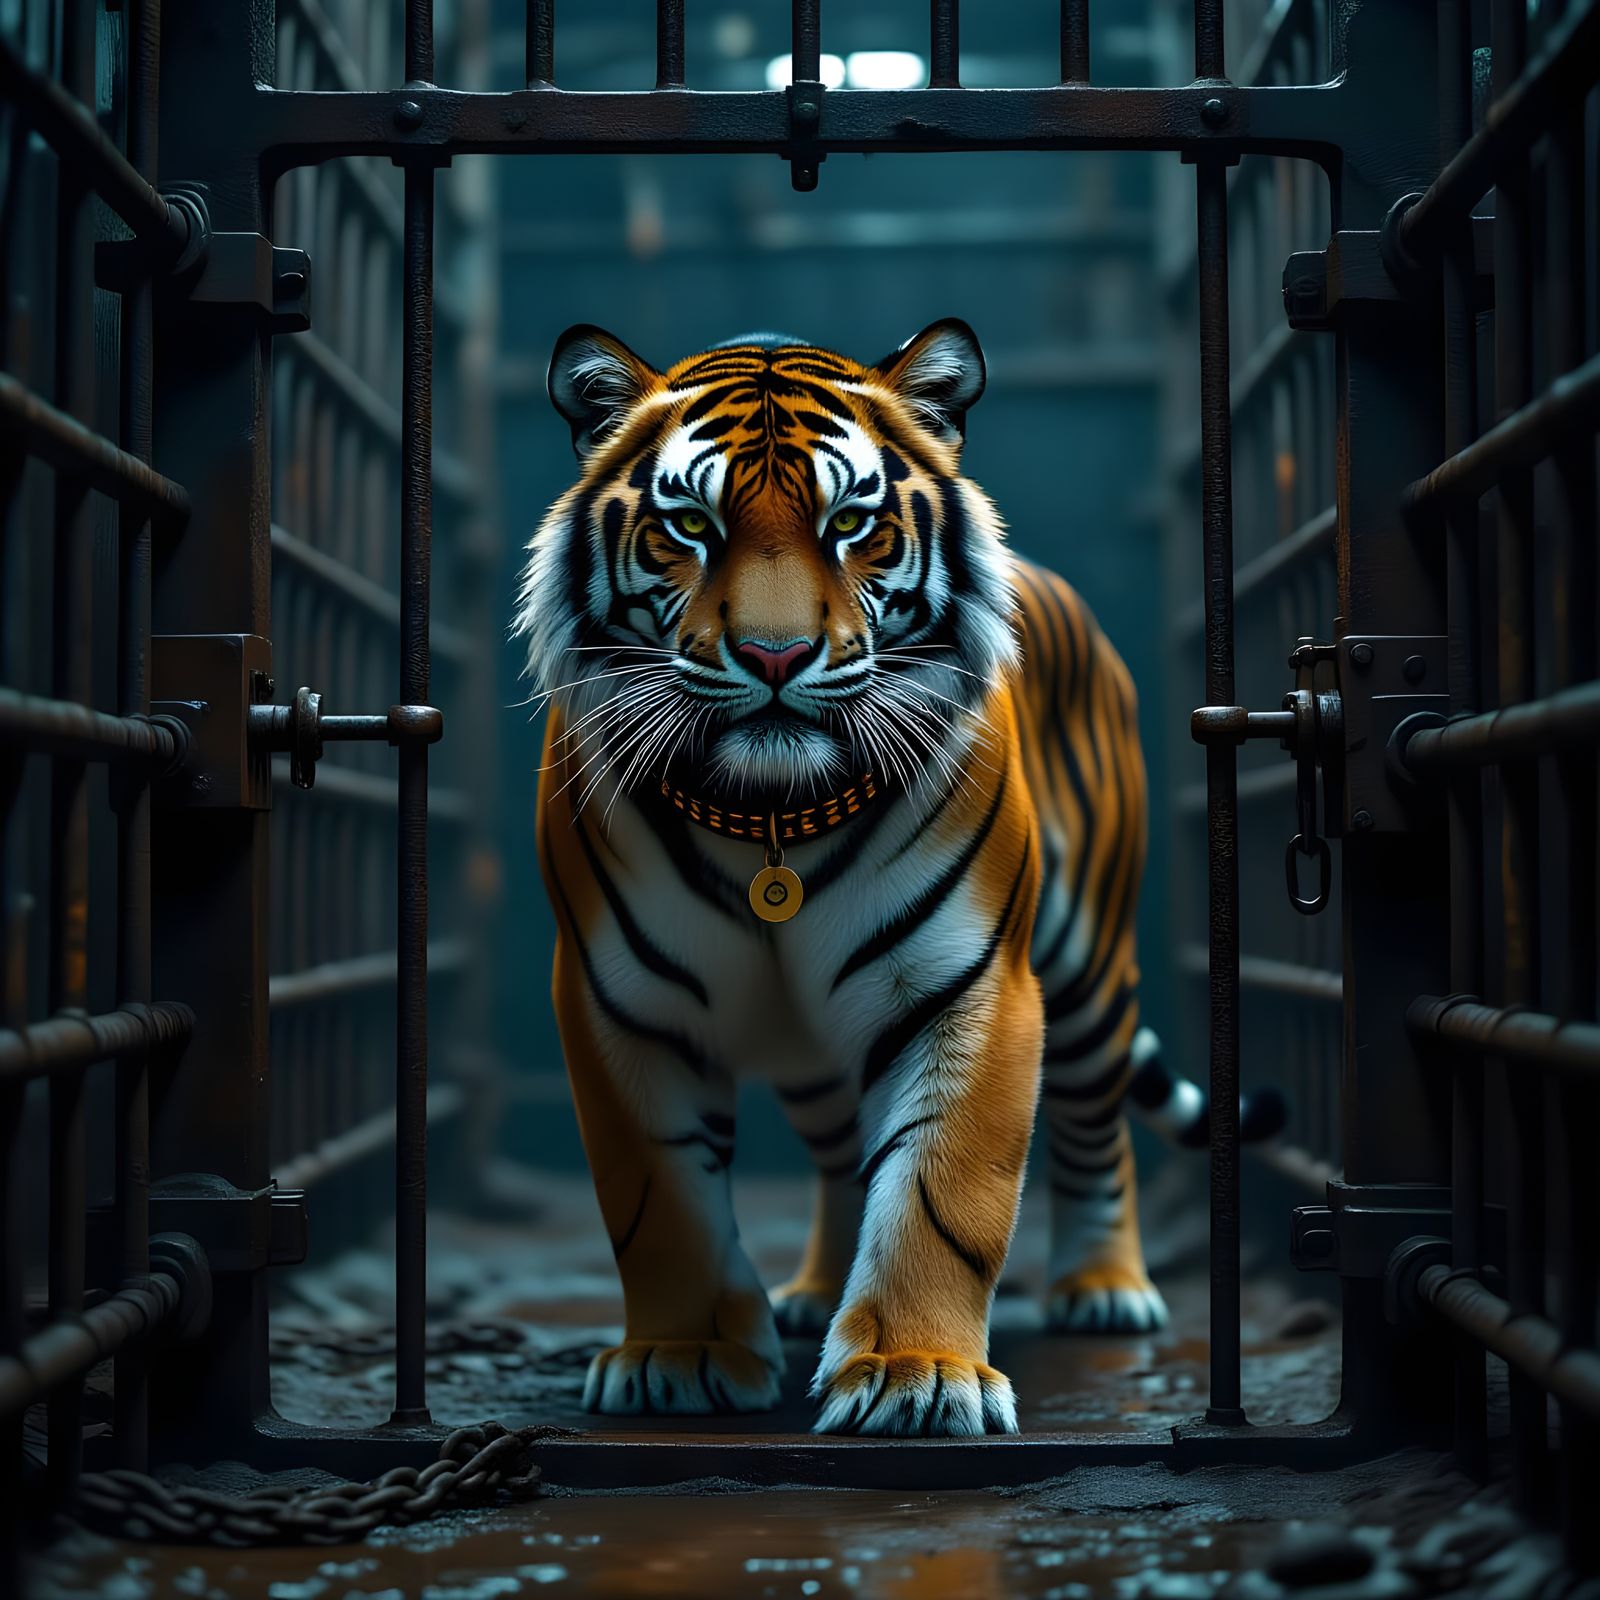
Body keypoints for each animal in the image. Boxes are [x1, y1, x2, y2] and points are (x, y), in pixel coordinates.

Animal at [513, 319, 1276, 1438]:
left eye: (852, 524)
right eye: (688, 524)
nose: (775, 655)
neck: (771, 822)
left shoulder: (970, 987)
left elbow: (938, 1192)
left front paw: (915, 1372)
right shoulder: (619, 1005)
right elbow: (659, 1197)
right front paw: (683, 1356)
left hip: (1090, 968)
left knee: (1096, 1127)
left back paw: (1104, 1288)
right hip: (813, 1053)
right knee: (841, 1156)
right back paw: (816, 1292)